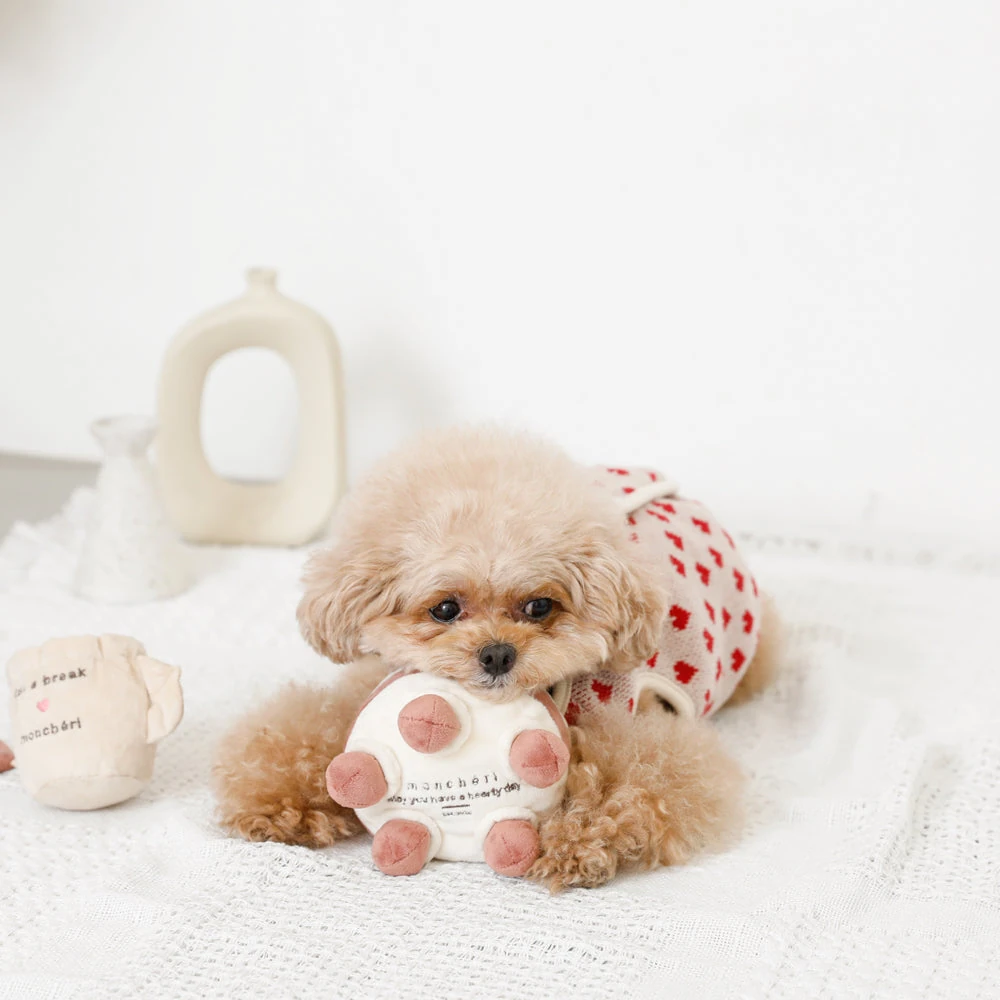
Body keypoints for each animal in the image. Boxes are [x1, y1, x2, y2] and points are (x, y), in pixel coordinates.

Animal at [213, 427, 780, 889]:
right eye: (445, 608)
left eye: (539, 606)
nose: (497, 654)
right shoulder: (379, 681)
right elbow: (313, 727)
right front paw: (275, 802)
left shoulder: (651, 734)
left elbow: (638, 784)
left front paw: (573, 843)